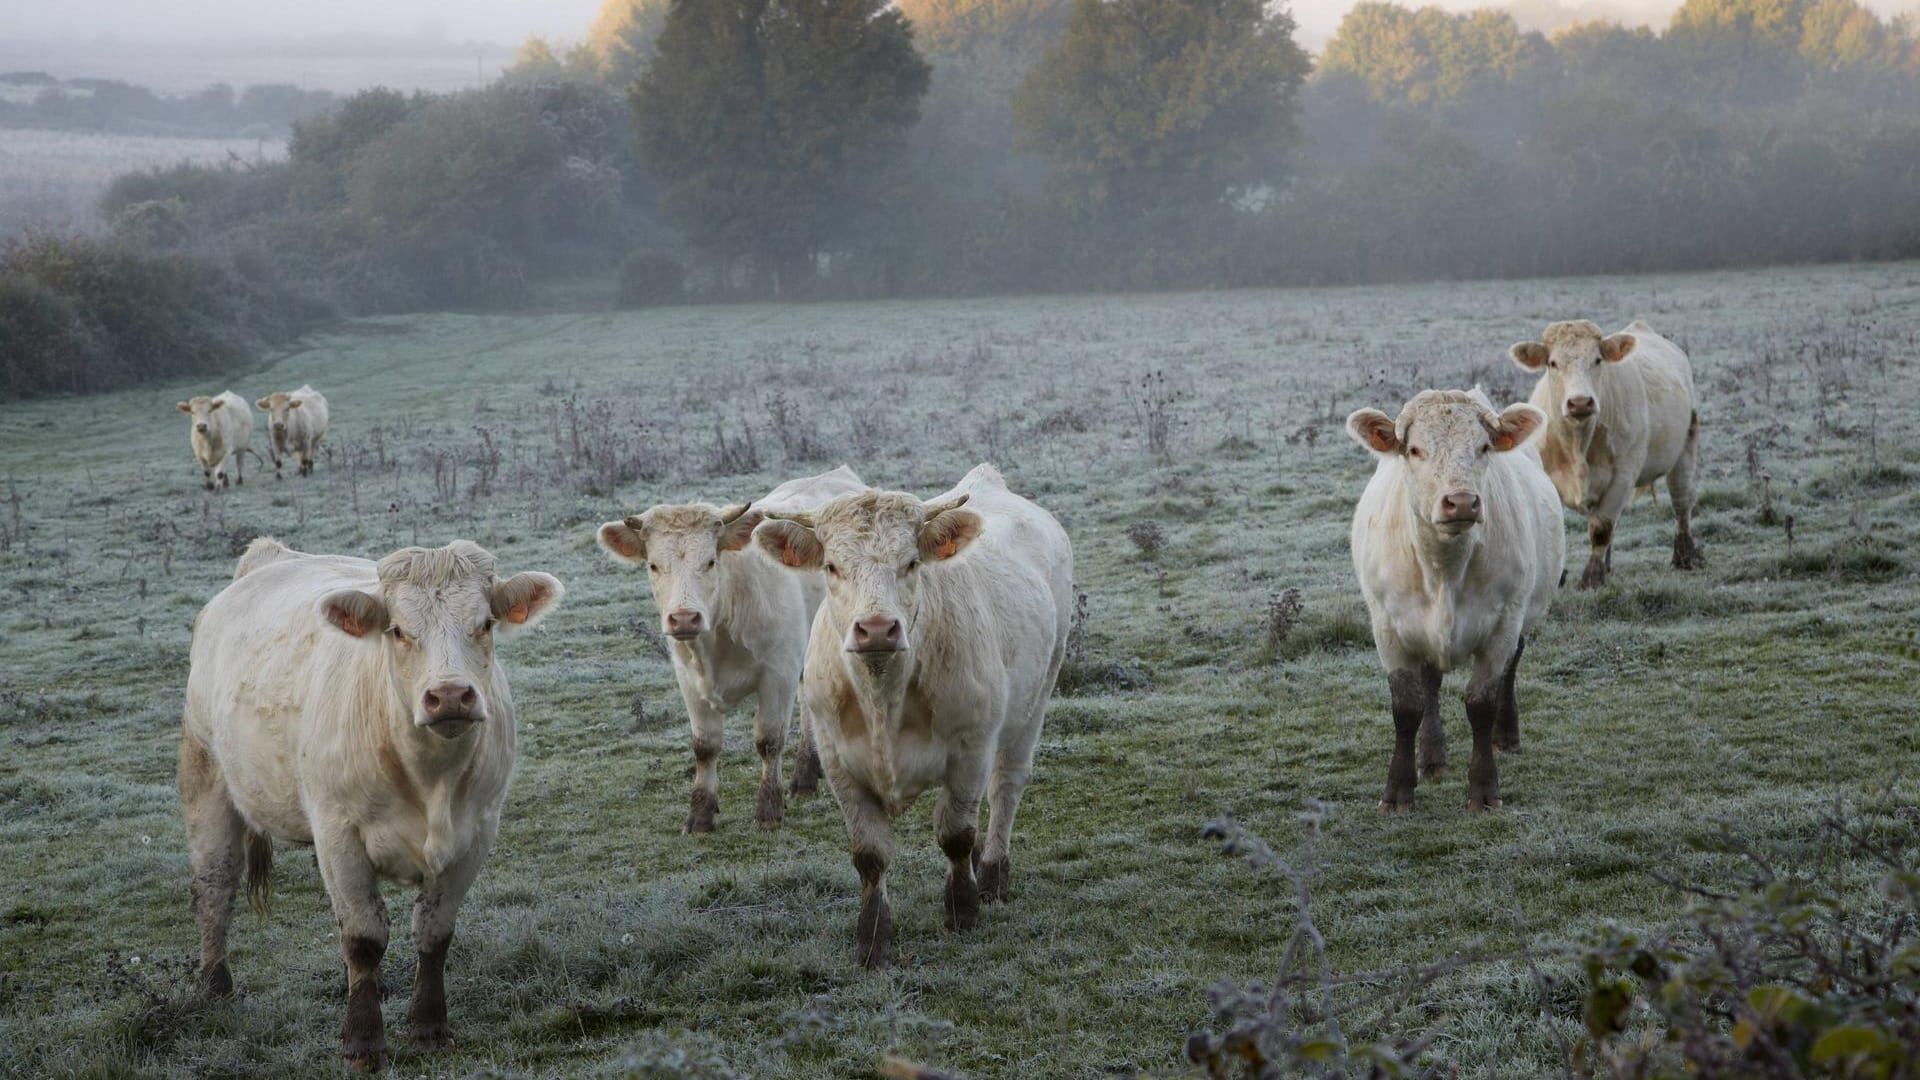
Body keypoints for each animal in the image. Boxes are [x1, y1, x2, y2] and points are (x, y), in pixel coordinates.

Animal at [180, 534, 560, 1060]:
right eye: (397, 630)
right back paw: (215, 987)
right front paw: (363, 1040)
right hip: (206, 775)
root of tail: (268, 556)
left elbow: (433, 933)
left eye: (485, 623)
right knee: (215, 885)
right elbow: (362, 937)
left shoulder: (477, 832)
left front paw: (428, 1026)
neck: (429, 779)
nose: (449, 696)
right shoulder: (339, 833)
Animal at [595, 465, 867, 834]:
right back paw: (805, 778)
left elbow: (769, 740)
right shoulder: (688, 679)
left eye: (710, 561)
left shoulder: (777, 673)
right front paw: (700, 815)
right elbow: (704, 746)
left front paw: (768, 810)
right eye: (652, 565)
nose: (684, 618)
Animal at [752, 463, 1082, 968]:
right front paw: (872, 940)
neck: (883, 697)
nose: (875, 629)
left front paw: (962, 911)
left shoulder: (970, 747)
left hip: (1037, 696)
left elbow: (955, 835)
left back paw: (992, 872)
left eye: (910, 563)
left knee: (1006, 786)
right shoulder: (838, 762)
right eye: (832, 566)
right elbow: (869, 854)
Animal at [1351, 386, 1559, 807]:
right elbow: (1407, 706)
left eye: (1484, 447)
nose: (1461, 501)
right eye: (1415, 450)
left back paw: (1505, 735)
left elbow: (1481, 702)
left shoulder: (1504, 622)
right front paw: (1398, 791)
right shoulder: (1388, 627)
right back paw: (1432, 757)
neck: (1444, 570)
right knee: (1430, 683)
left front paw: (1484, 789)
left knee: (1512, 667)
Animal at [1505, 319, 1704, 588]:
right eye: (1553, 363)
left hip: (1685, 448)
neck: (1577, 445)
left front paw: (1593, 576)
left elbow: (1601, 527)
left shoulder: (1622, 476)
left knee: (1682, 502)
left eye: (1598, 360)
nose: (1580, 402)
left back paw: (1683, 555)